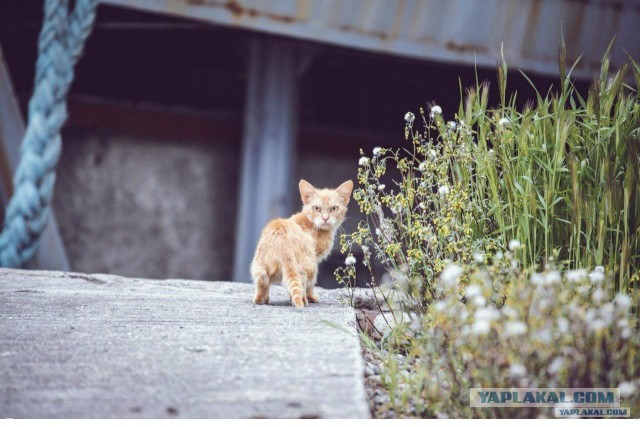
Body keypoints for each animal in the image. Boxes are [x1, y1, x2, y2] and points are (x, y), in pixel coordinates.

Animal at [250, 179, 352, 310]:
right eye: (316, 208)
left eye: (334, 209)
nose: (325, 218)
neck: (312, 224)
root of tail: (283, 246)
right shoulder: (315, 259)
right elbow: (309, 285)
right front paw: (312, 297)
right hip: (310, 265)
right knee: (303, 281)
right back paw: (304, 300)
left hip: (258, 266)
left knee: (263, 279)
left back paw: (261, 300)